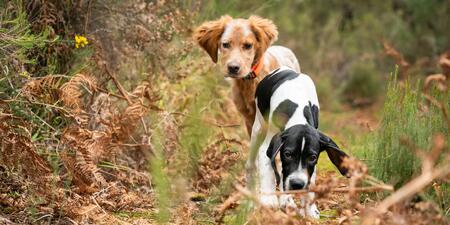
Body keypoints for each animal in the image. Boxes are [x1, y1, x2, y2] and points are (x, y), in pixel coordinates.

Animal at [248, 66, 350, 218]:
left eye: (312, 157)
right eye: (288, 154)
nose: (297, 184)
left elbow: (309, 180)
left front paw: (310, 209)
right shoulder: (268, 146)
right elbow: (268, 171)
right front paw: (268, 199)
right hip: (258, 129)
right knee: (252, 163)